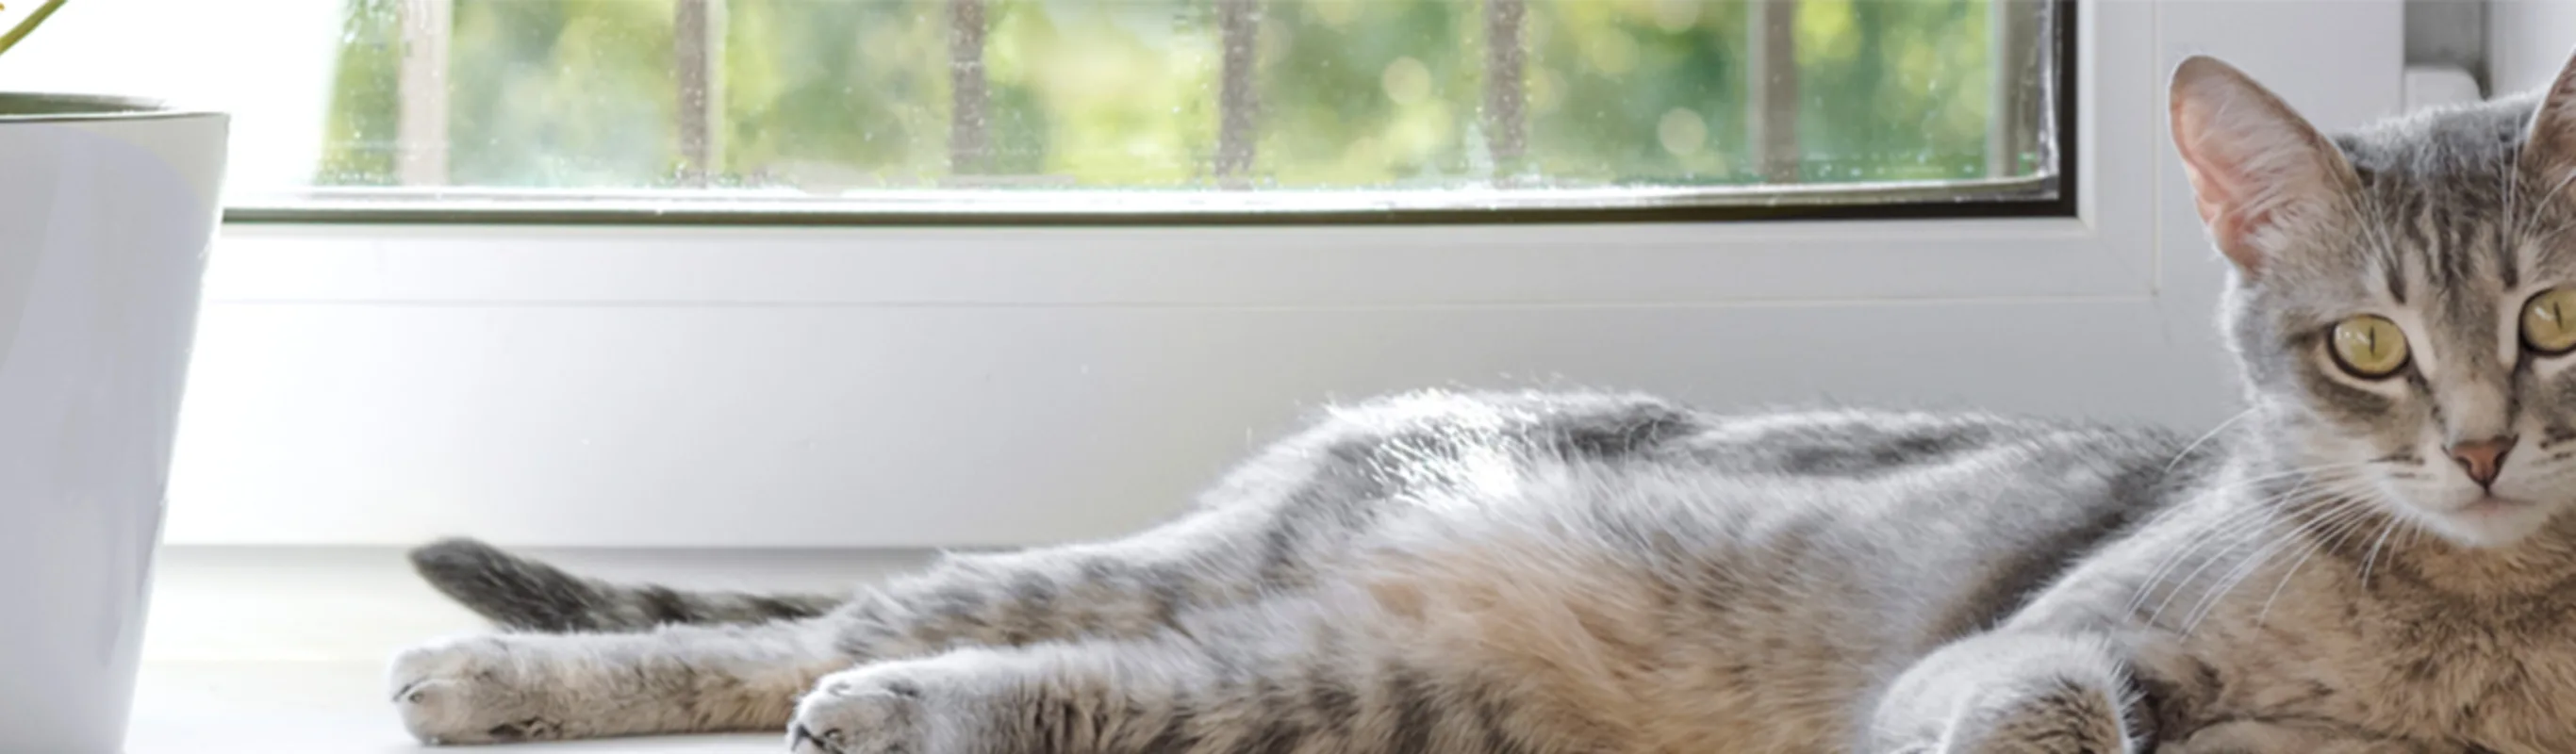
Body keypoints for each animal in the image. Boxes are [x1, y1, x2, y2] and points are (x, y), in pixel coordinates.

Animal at [386, 49, 2576, 746]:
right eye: (2366, 346)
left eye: (2553, 321)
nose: (2478, 447)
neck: (2482, 641)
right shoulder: (2021, 648)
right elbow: (2038, 703)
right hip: (1175, 577)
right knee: (820, 620)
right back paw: (488, 680)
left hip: (1341, 692)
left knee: (1056, 682)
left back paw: (895, 721)